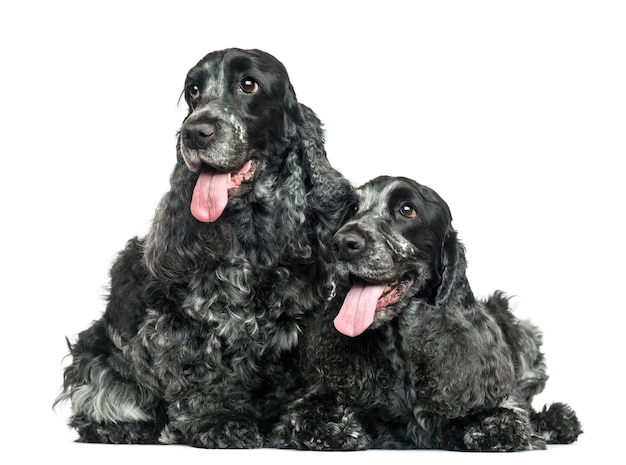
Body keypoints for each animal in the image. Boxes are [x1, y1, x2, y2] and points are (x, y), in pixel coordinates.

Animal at [54, 47, 354, 446]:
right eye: (193, 91)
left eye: (248, 84)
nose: (194, 132)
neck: (252, 233)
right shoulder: (179, 318)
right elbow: (197, 370)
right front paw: (218, 420)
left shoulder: (306, 319)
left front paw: (322, 421)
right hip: (99, 346)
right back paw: (122, 428)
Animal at [272, 175, 580, 450]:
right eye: (354, 209)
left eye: (407, 210)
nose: (342, 243)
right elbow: (308, 416)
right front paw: (341, 427)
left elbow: (503, 416)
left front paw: (494, 425)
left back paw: (557, 421)